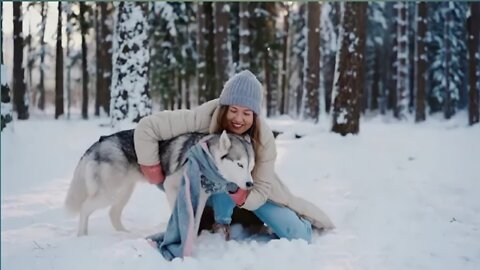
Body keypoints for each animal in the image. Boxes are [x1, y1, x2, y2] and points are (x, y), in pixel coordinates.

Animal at [64, 130, 255, 236]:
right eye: (240, 164)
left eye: (251, 166)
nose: (250, 184)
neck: (205, 159)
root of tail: (100, 142)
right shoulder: (172, 186)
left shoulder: (200, 198)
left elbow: (194, 222)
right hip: (108, 194)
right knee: (85, 208)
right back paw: (82, 235)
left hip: (124, 192)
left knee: (112, 213)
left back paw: (123, 234)